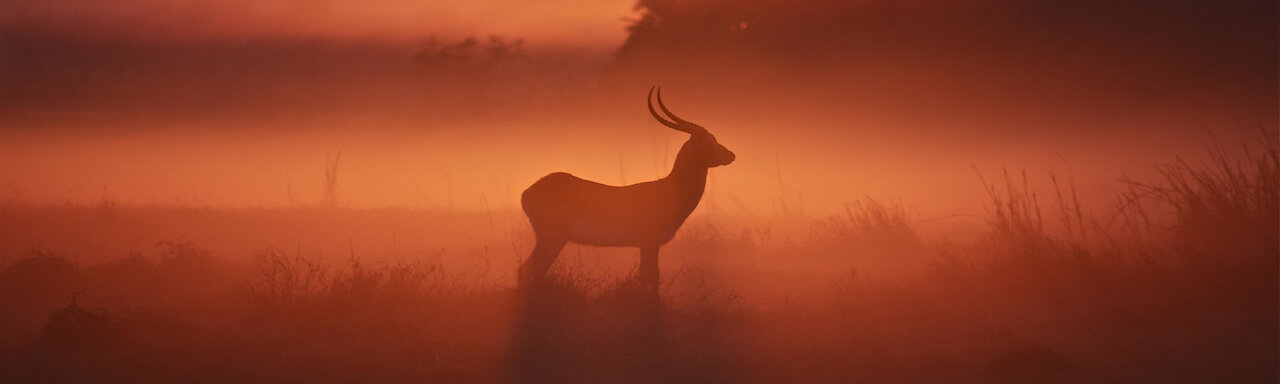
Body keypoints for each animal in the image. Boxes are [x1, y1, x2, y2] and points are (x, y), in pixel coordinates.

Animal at [517, 87, 737, 294]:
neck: (669, 190)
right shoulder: (649, 242)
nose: (731, 155)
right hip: (552, 238)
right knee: (527, 269)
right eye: (707, 141)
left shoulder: (646, 245)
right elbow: (651, 279)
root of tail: (526, 193)